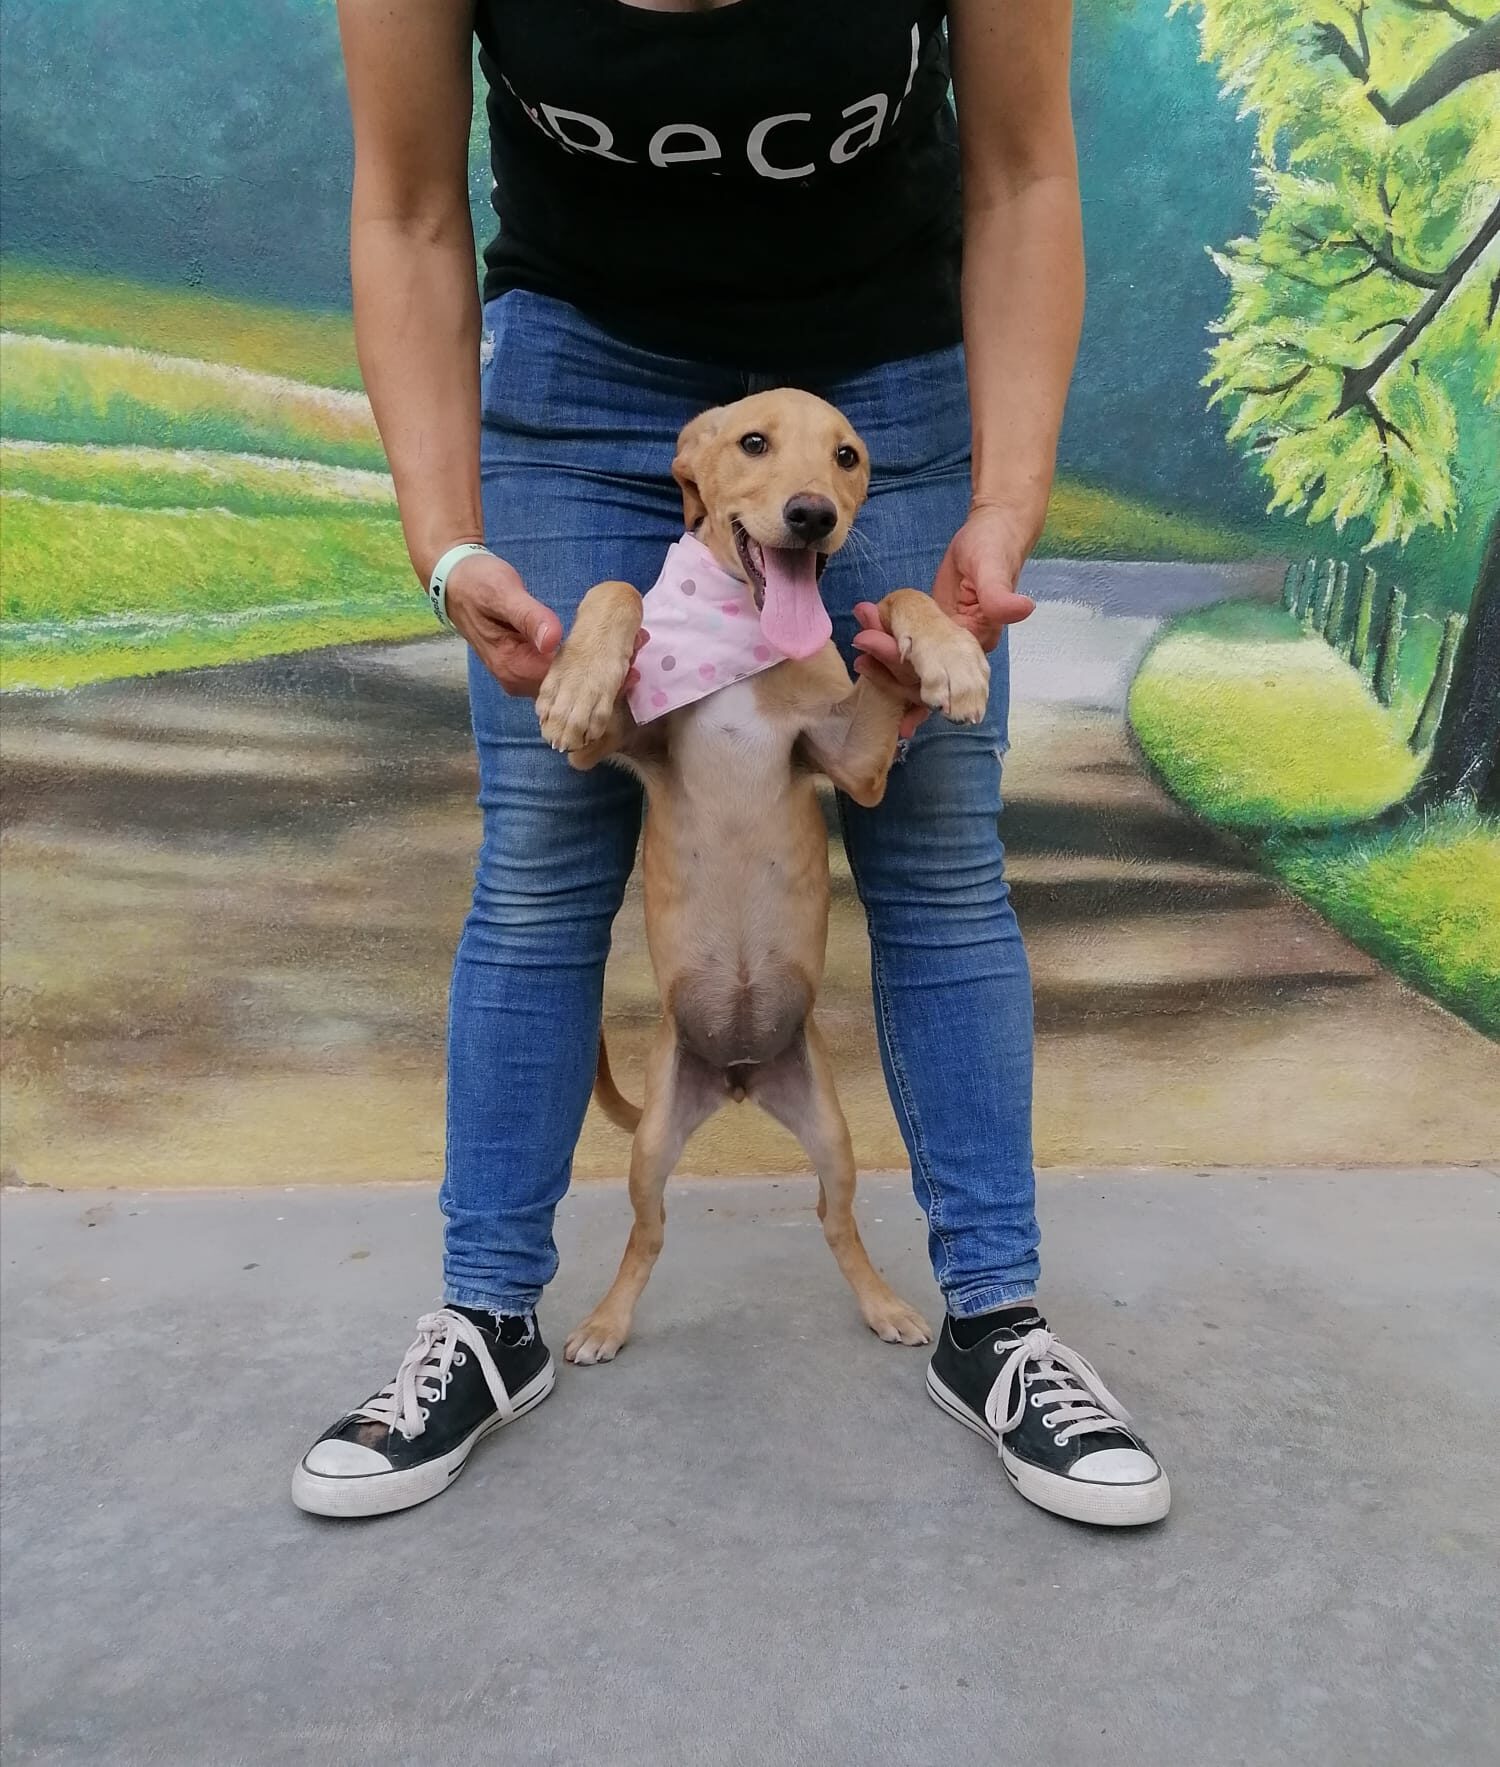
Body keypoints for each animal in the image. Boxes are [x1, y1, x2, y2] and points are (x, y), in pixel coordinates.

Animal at [535, 388, 990, 1365]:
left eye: (848, 456)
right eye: (753, 442)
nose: (813, 514)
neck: (741, 630)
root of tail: (741, 1075)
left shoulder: (855, 759)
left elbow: (902, 596)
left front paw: (949, 656)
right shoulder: (613, 744)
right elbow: (615, 589)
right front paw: (577, 679)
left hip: (833, 1131)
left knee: (836, 1221)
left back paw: (885, 1305)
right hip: (652, 1145)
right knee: (647, 1234)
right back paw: (604, 1321)